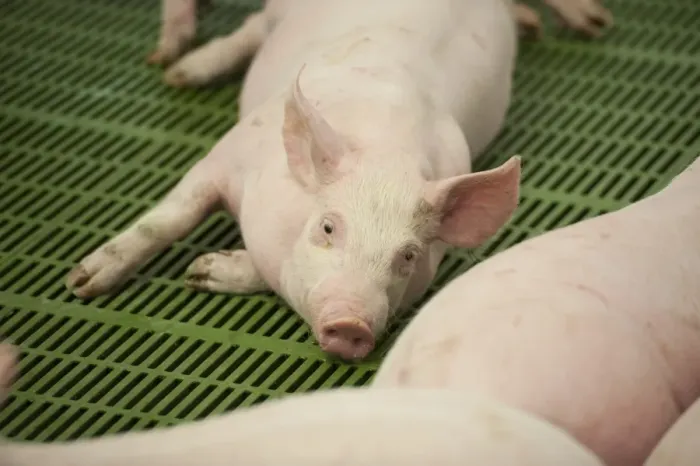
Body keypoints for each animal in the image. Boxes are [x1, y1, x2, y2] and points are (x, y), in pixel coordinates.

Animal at [65, 0, 525, 361]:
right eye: (327, 227)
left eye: (409, 255)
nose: (352, 324)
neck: (386, 147)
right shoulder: (226, 154)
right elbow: (170, 219)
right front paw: (82, 283)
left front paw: (202, 271)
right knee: (254, 24)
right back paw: (177, 69)